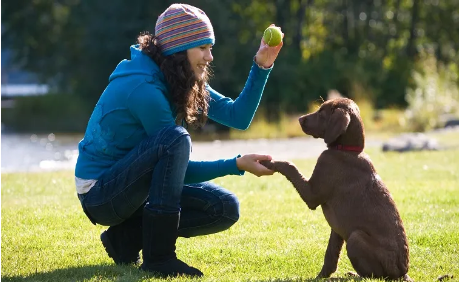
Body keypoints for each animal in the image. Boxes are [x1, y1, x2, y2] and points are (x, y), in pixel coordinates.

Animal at [260, 98, 412, 280]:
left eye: (321, 112)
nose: (299, 119)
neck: (348, 150)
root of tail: (402, 273)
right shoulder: (337, 229)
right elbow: (331, 255)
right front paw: (321, 276)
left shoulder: (312, 194)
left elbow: (290, 166)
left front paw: (268, 162)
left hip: (355, 238)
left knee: (373, 276)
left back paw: (354, 275)